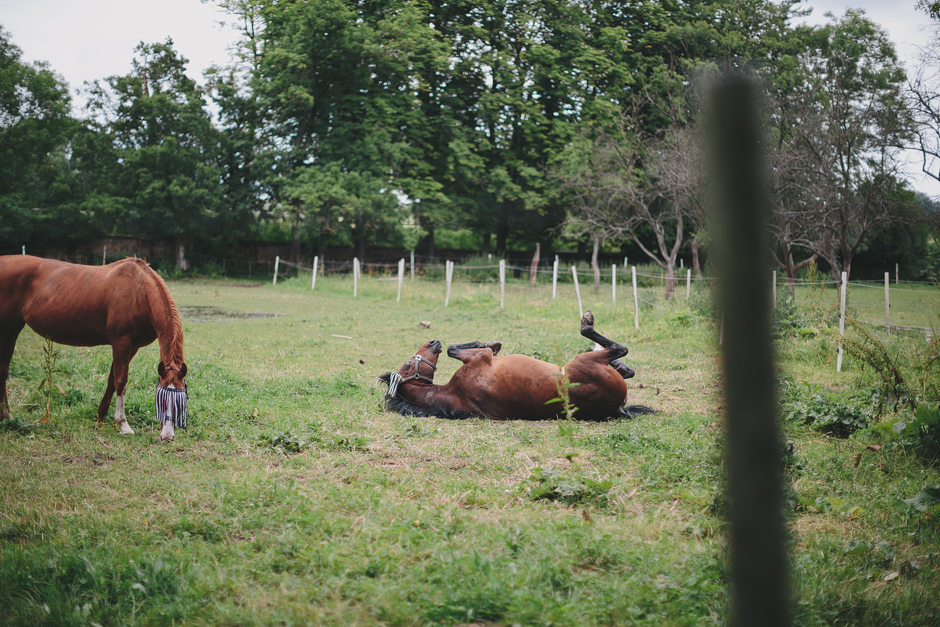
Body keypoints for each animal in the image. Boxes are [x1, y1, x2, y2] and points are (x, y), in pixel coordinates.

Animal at [0, 255, 187, 442]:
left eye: (181, 400)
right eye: (161, 399)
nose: (167, 436)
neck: (138, 290)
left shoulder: (132, 347)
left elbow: (112, 380)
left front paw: (101, 416)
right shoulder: (122, 342)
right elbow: (121, 382)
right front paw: (123, 424)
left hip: (13, 328)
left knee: (4, 370)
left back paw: (6, 415)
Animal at [378, 312, 656, 422]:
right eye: (409, 363)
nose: (432, 341)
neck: (452, 395)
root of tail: (617, 408)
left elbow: (453, 349)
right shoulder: (479, 358)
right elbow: (455, 349)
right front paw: (493, 344)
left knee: (625, 365)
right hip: (584, 361)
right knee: (616, 348)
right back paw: (589, 326)